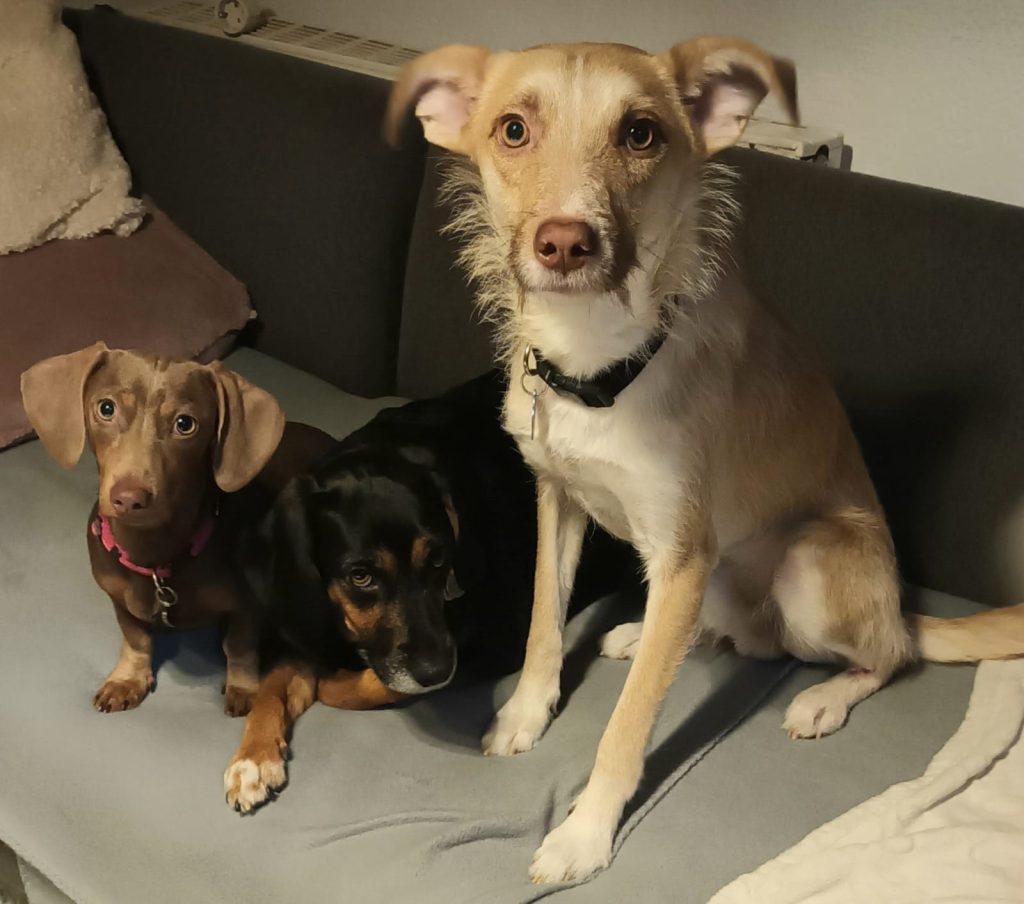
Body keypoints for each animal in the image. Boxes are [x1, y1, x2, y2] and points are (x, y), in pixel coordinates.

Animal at [20, 342, 331, 716]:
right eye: (106, 408)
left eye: (185, 424)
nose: (129, 498)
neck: (155, 553)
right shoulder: (118, 598)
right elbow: (135, 637)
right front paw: (128, 678)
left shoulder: (247, 606)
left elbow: (239, 646)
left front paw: (244, 687)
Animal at [224, 372, 634, 812]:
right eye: (360, 575)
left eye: (438, 559)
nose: (437, 670)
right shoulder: (305, 624)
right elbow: (271, 687)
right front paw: (251, 760)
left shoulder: (494, 641)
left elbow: (368, 685)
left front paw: (332, 683)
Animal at [387, 37, 1024, 882]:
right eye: (513, 130)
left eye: (642, 134)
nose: (565, 242)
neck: (599, 361)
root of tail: (899, 605)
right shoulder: (558, 499)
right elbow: (544, 624)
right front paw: (525, 712)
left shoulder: (684, 551)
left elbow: (626, 726)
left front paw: (584, 836)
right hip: (717, 584)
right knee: (727, 640)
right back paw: (640, 636)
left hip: (807, 565)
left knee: (892, 655)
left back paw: (823, 696)